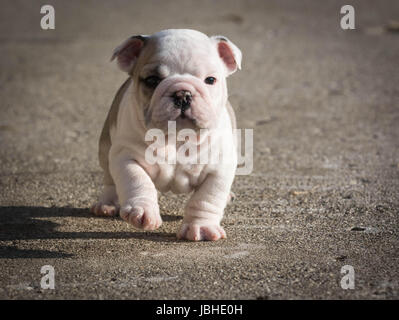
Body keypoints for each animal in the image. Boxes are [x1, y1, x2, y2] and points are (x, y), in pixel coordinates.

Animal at [91, 29, 241, 240]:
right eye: (152, 80)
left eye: (210, 80)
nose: (183, 94)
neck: (177, 138)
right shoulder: (125, 155)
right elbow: (136, 179)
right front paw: (142, 210)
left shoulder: (219, 167)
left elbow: (207, 198)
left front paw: (201, 227)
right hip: (105, 148)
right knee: (110, 178)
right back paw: (107, 204)